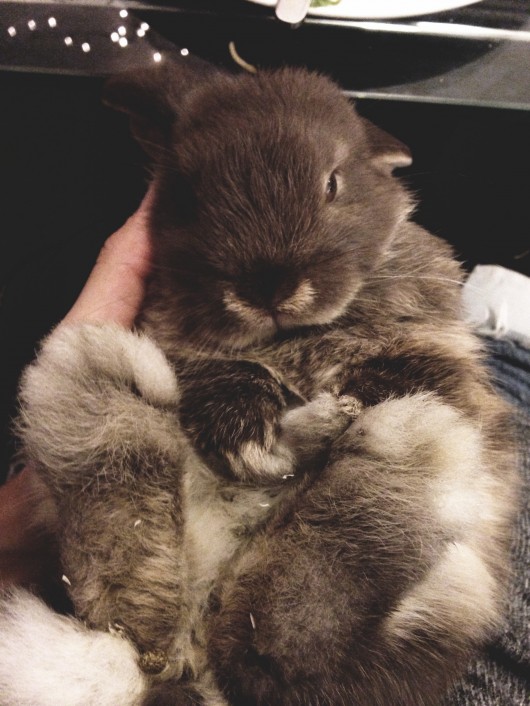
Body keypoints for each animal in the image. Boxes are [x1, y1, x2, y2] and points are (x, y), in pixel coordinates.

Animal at [0, 58, 518, 706]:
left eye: (332, 183)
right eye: (188, 197)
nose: (268, 289)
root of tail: (187, 665)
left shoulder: (441, 353)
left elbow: (399, 376)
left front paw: (334, 411)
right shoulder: (182, 346)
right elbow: (225, 376)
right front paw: (254, 442)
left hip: (434, 605)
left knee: (278, 650)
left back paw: (389, 447)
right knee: (156, 614)